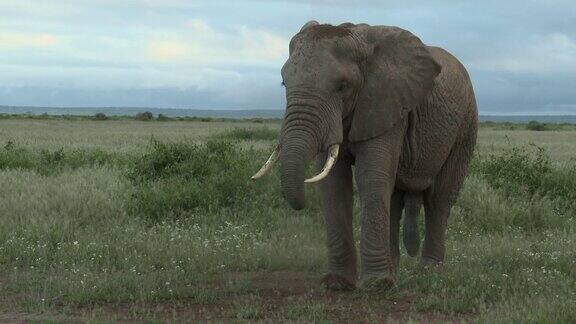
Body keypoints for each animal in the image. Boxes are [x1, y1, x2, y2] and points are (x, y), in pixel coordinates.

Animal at [254, 21, 480, 292]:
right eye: (284, 84)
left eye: (342, 86)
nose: (300, 204)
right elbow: (334, 183)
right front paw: (338, 283)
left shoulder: (386, 103)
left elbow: (370, 176)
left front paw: (375, 285)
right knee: (394, 198)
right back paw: (394, 270)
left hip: (465, 125)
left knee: (439, 197)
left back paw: (428, 272)